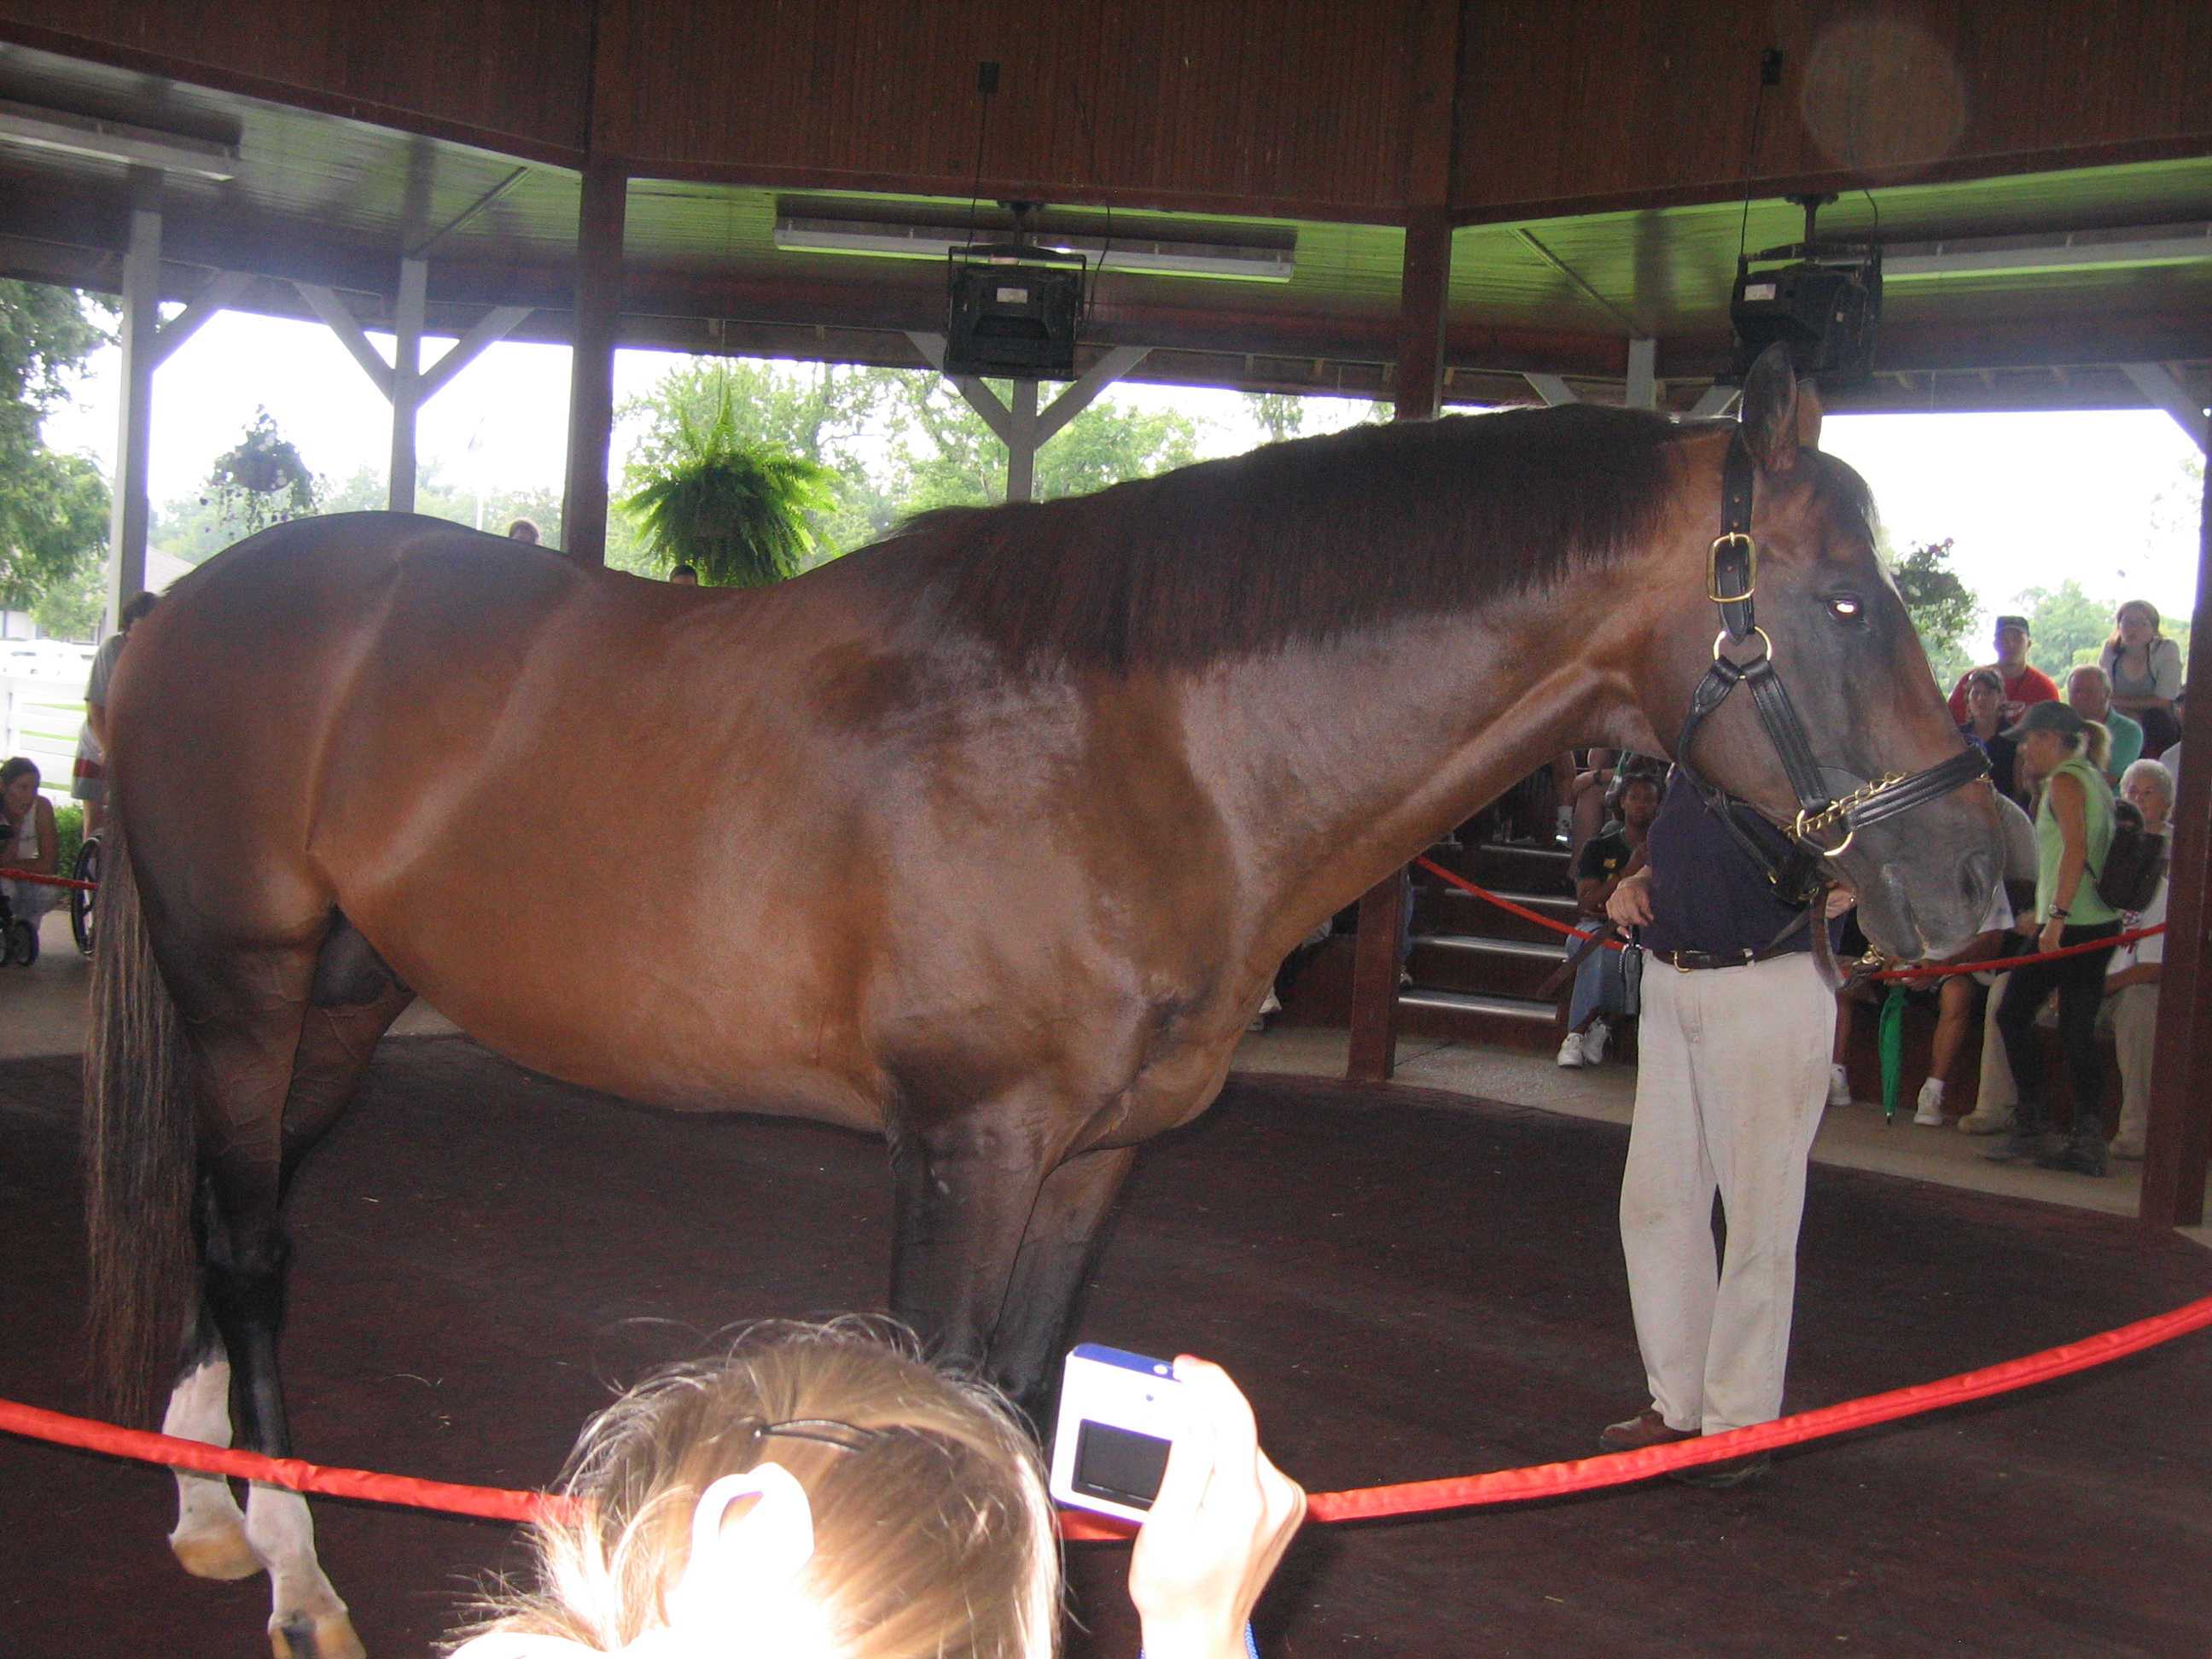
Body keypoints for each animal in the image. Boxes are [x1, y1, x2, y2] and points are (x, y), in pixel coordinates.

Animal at [86, 347, 2000, 1658]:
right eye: (1845, 596)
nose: (1977, 880)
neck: (1140, 746)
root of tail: (175, 614)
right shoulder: (969, 1145)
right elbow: (934, 1410)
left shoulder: (1093, 1156)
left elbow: (1011, 1406)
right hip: (247, 988)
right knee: (248, 1243)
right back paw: (296, 1577)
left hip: (341, 1005)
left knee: (219, 1214)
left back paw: (201, 1510)